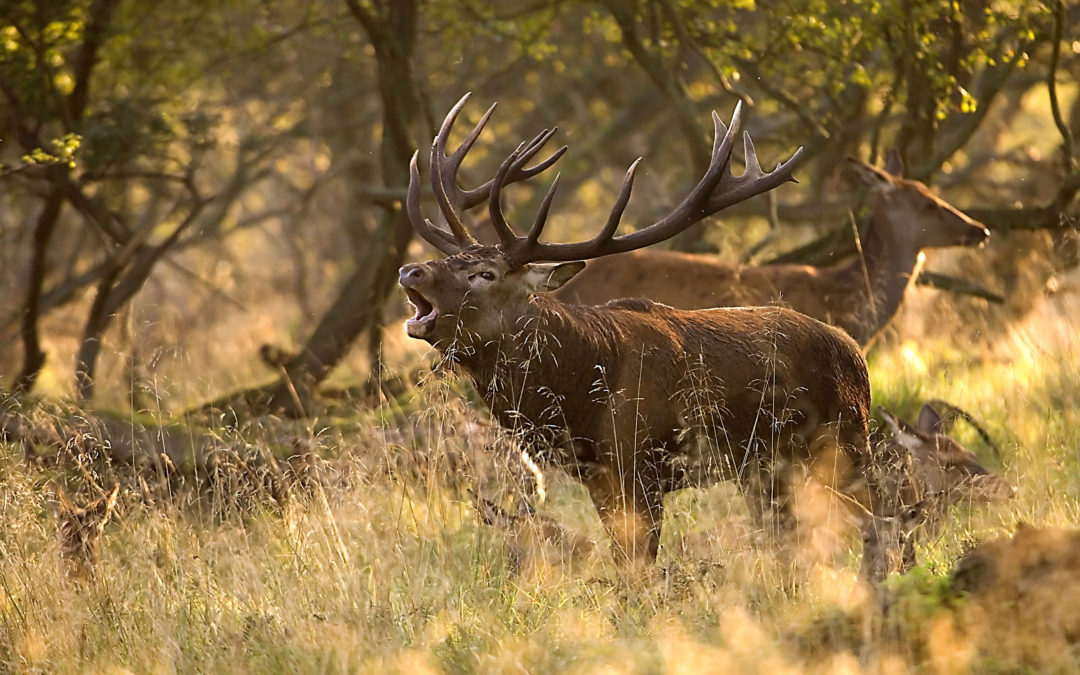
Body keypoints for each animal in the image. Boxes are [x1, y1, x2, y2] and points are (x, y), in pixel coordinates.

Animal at [401, 93, 898, 578]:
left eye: (486, 272)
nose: (411, 270)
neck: (578, 393)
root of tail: (856, 352)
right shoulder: (599, 477)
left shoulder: (641, 465)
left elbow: (640, 568)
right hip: (768, 468)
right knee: (792, 538)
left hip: (846, 439)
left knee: (882, 516)